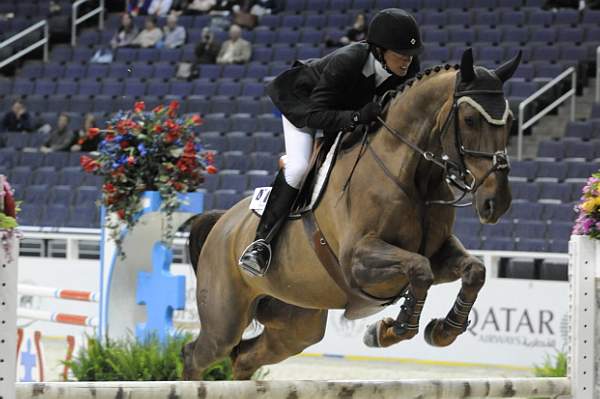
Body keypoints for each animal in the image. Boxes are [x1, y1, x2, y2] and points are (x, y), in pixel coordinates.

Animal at [182, 48, 520, 382]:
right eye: (470, 119)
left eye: (511, 121)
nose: (497, 202)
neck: (412, 177)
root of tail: (223, 222)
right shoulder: (357, 261)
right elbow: (419, 269)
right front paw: (388, 331)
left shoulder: (438, 253)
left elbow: (475, 271)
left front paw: (442, 331)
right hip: (224, 320)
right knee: (197, 355)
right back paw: (254, 257)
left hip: (296, 323)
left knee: (244, 358)